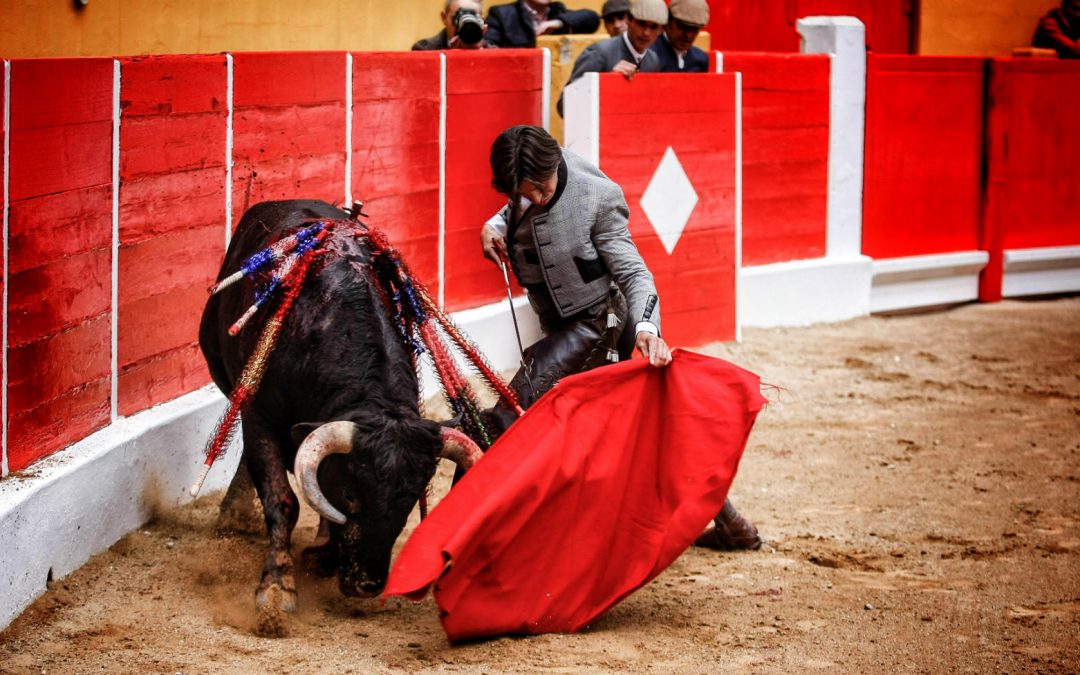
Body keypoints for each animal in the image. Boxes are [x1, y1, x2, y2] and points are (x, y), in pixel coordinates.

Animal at [198, 198, 477, 609]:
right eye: (350, 494)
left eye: (412, 498)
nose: (367, 584)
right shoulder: (260, 415)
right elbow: (283, 499)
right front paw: (277, 588)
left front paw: (322, 555)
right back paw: (234, 515)